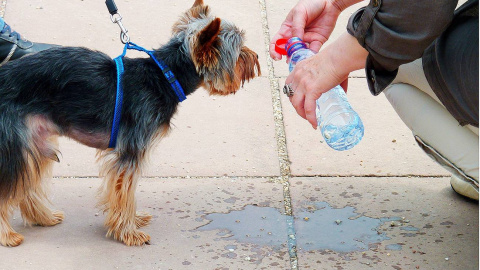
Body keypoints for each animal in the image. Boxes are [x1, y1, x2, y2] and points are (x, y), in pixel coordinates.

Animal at [0, 0, 260, 247]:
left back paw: (43, 217)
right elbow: (125, 192)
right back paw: (8, 235)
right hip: (16, 140)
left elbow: (124, 193)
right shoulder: (131, 151)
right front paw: (129, 233)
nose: (256, 58)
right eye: (239, 51)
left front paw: (132, 221)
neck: (166, 76)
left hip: (36, 141)